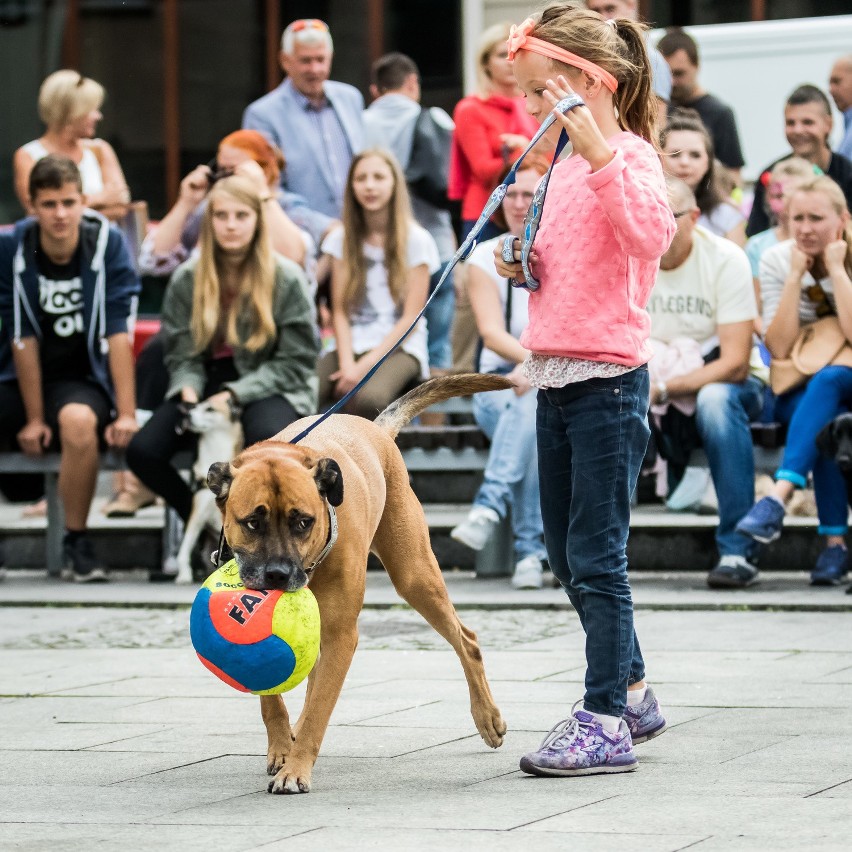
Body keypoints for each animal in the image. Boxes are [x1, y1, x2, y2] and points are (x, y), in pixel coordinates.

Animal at [168, 394, 243, 584]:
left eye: (209, 409)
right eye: (195, 406)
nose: (188, 415)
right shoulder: (198, 512)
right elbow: (184, 548)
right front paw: (184, 574)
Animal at [206, 372, 510, 792]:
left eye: (303, 522)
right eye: (252, 522)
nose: (278, 575)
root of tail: (376, 428)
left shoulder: (340, 634)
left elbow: (320, 708)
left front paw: (297, 767)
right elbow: (273, 697)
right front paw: (282, 747)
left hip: (415, 575)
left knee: (466, 640)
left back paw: (487, 717)